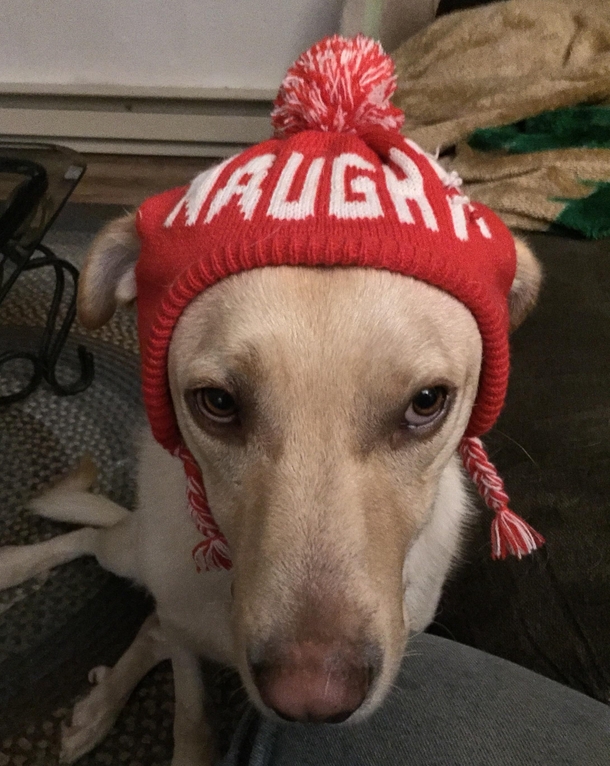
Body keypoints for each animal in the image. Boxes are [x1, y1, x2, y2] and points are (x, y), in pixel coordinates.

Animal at [0, 206, 540, 766]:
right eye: (217, 402)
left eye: (427, 401)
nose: (311, 700)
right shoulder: (186, 642)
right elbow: (190, 713)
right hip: (135, 554)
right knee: (100, 549)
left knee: (152, 626)